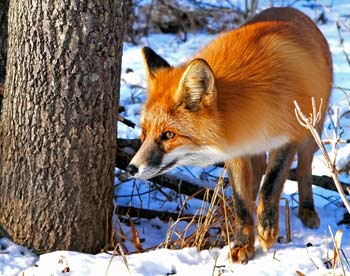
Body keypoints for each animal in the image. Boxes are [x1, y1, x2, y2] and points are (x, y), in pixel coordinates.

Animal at [127, 7, 332, 264]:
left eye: (168, 134)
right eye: (144, 132)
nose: (131, 168)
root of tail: (291, 9)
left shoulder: (288, 138)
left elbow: (271, 185)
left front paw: (267, 230)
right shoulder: (236, 148)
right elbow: (241, 201)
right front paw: (244, 243)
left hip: (311, 131)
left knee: (304, 167)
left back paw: (307, 209)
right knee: (256, 174)